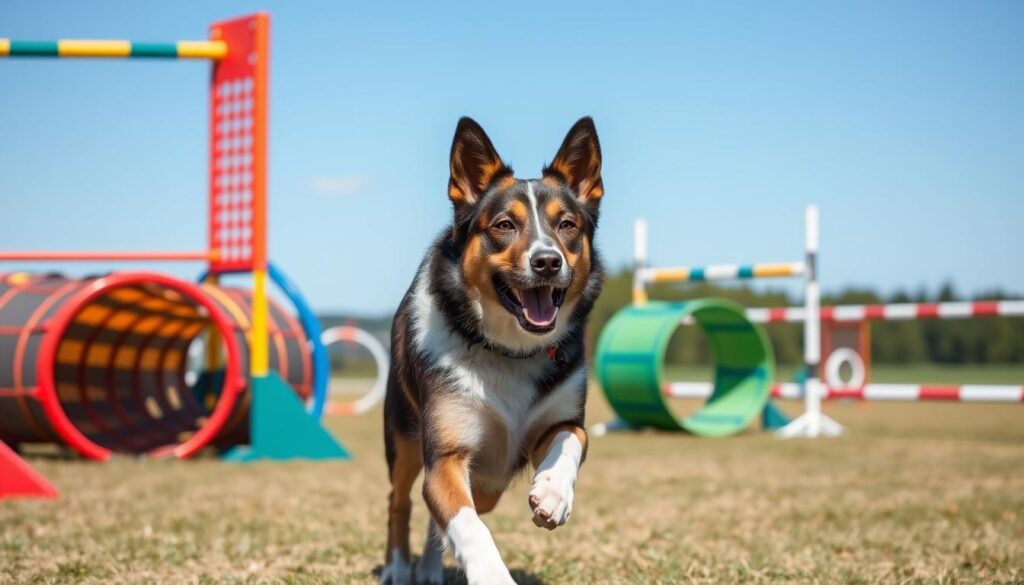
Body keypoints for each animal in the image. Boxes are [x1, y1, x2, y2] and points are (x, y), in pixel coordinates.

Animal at [382, 116, 606, 581]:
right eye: (504, 225)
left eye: (567, 225)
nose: (547, 261)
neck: (509, 351)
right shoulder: (446, 456)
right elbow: (467, 525)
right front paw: (491, 574)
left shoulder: (562, 420)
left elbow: (570, 439)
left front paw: (553, 493)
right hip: (404, 438)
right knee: (401, 499)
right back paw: (397, 566)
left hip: (488, 483)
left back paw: (429, 568)